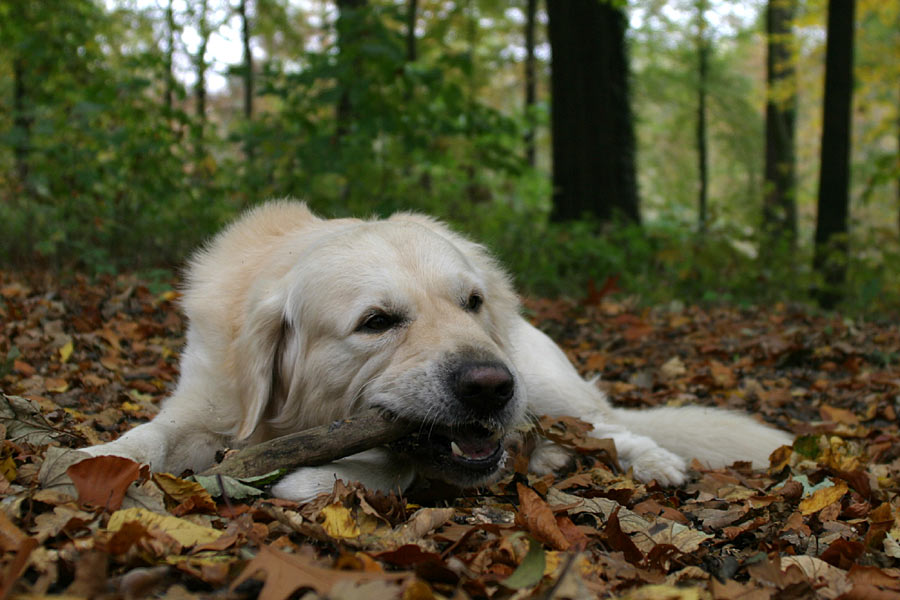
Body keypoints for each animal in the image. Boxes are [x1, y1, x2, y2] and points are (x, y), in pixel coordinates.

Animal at [82, 203, 788, 502]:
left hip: (546, 381)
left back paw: (654, 462)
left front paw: (309, 479)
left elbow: (389, 466)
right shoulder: (205, 398)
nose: (491, 387)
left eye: (471, 301)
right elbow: (150, 436)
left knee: (607, 427)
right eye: (377, 322)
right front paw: (96, 460)